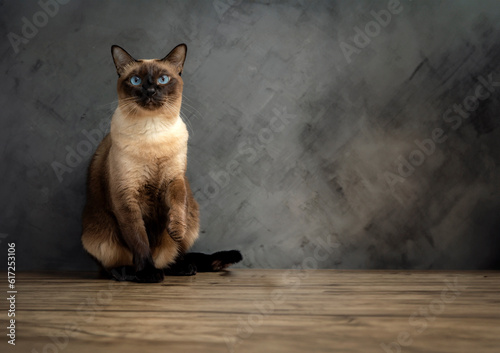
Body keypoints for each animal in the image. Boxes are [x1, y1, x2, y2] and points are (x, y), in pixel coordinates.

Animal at [81, 43, 242, 280]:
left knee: (174, 254)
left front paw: (175, 230)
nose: (150, 91)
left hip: (192, 216)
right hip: (97, 238)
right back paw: (130, 272)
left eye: (163, 79)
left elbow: (177, 205)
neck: (153, 131)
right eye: (135, 80)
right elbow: (139, 240)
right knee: (109, 267)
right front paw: (148, 274)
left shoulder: (174, 180)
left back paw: (182, 268)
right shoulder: (126, 196)